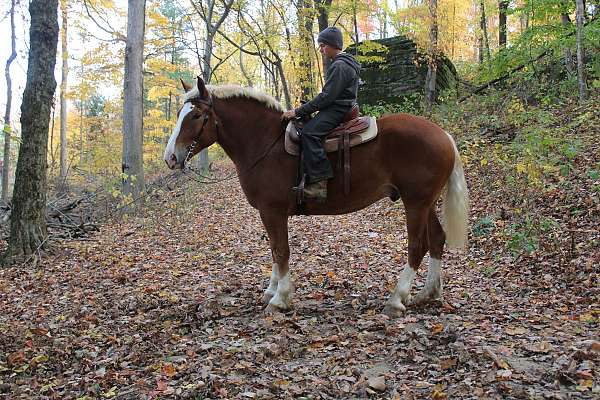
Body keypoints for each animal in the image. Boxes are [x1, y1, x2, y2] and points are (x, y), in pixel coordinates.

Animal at [164, 77, 468, 316]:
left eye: (195, 116)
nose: (170, 158)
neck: (266, 143)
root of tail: (444, 135)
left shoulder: (272, 211)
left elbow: (281, 250)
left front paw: (280, 298)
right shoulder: (268, 213)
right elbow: (274, 250)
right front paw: (271, 290)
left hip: (415, 202)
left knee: (417, 246)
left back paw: (396, 299)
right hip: (425, 202)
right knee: (437, 239)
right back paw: (428, 294)